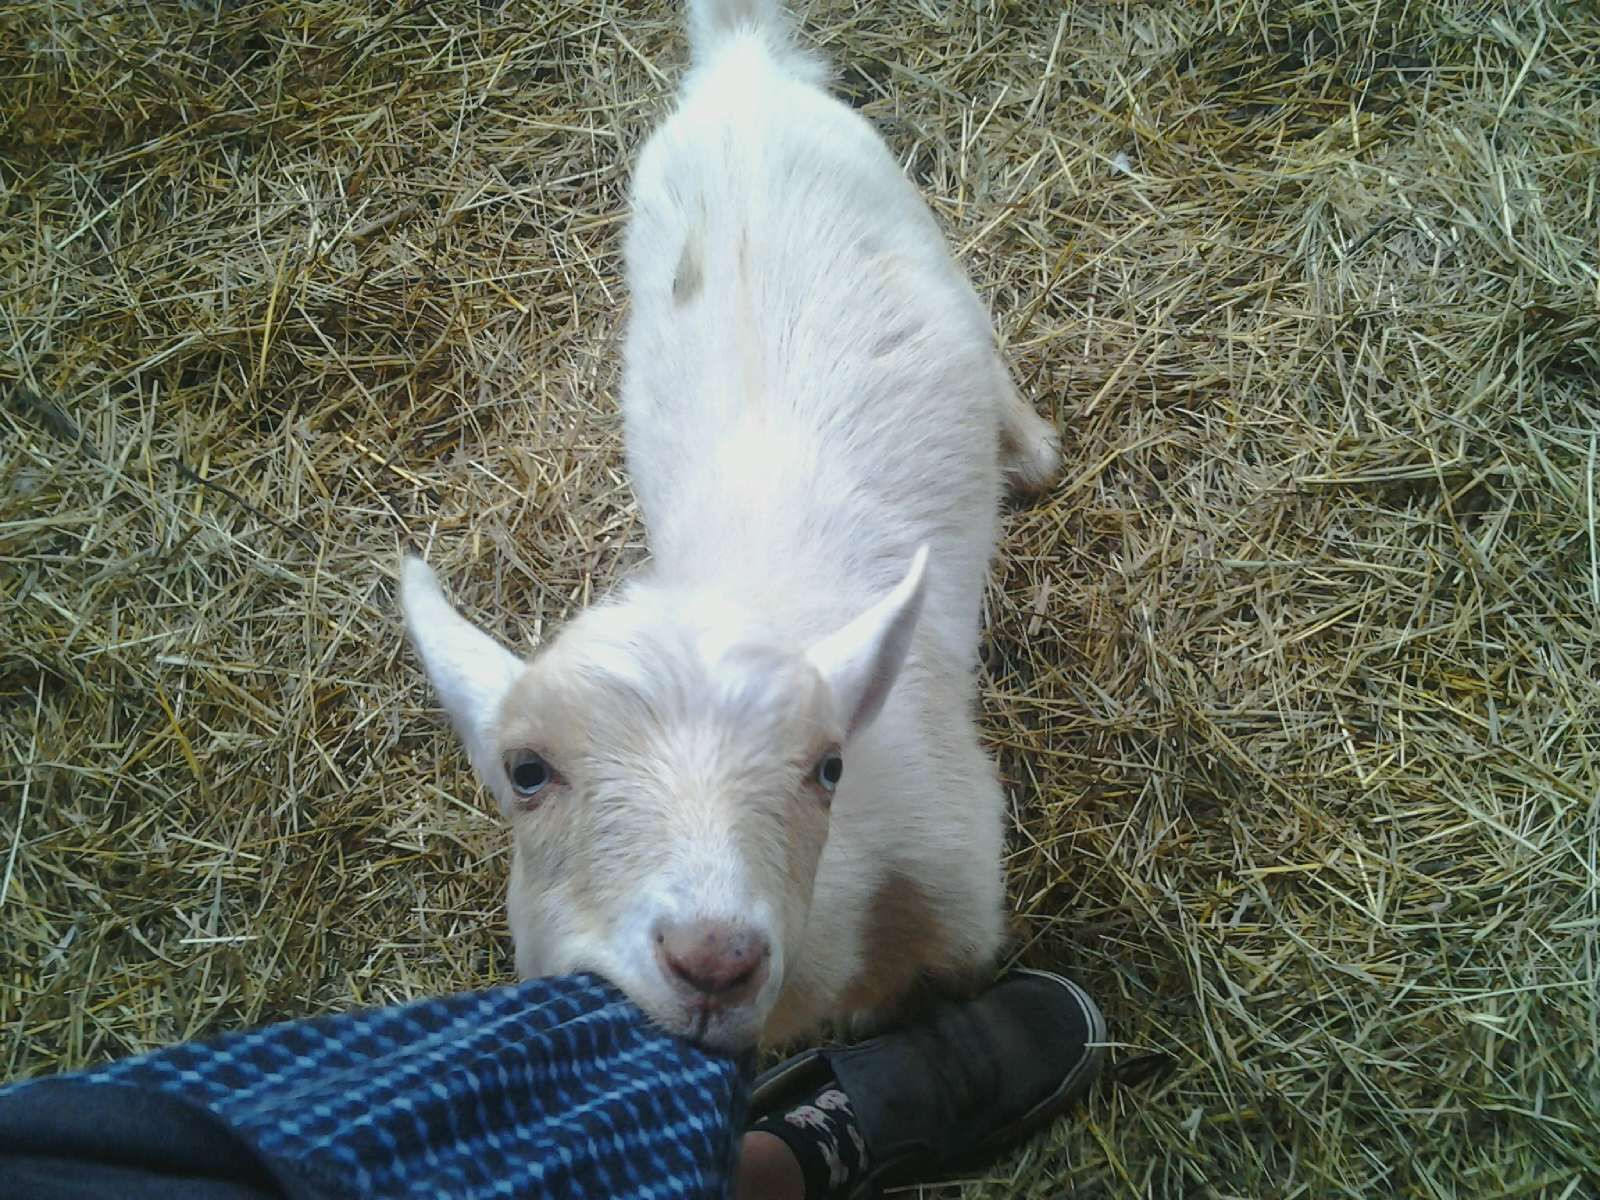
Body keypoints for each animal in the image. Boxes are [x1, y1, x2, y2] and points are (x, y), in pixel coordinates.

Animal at [403, 0, 1062, 1049]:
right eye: (525, 772)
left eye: (828, 766)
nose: (713, 958)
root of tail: (739, 70)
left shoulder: (960, 882)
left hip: (907, 213)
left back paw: (1031, 449)